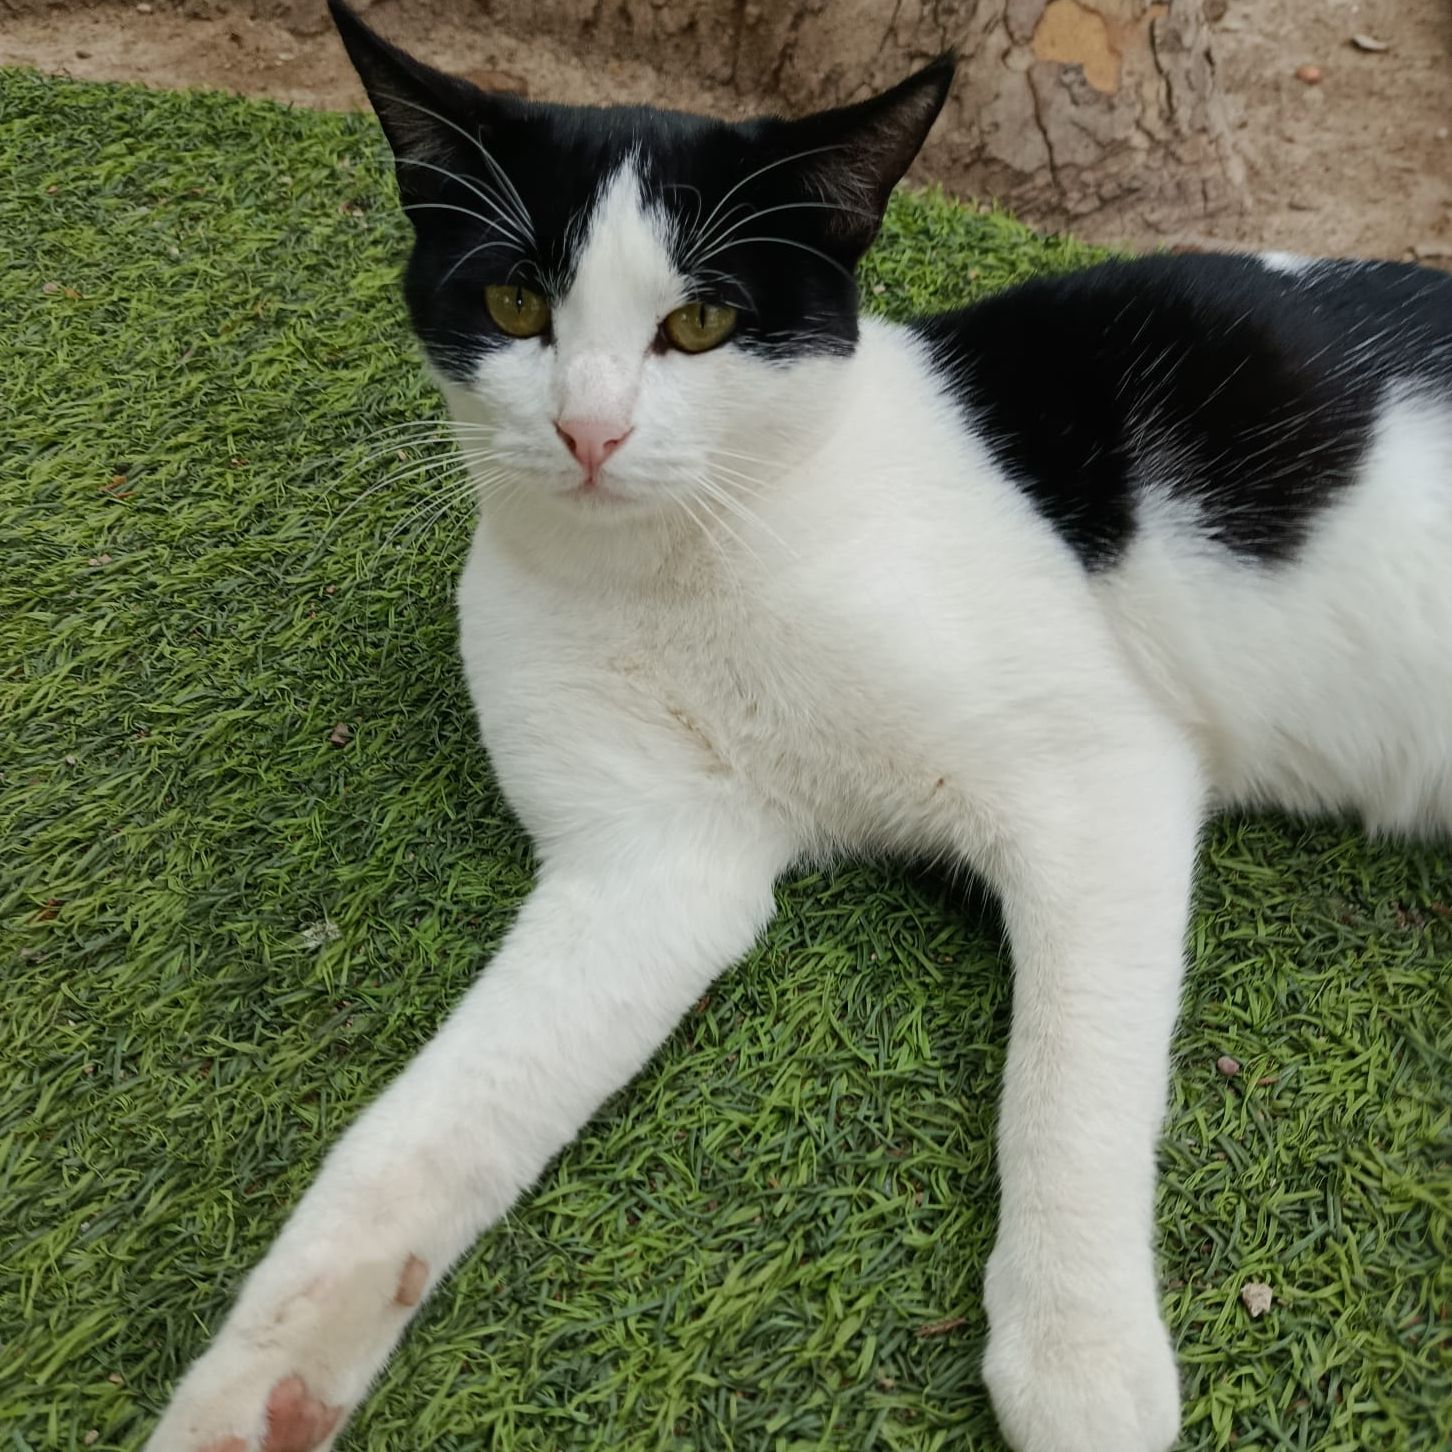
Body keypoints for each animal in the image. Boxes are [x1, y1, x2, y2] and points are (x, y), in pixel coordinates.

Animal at [146, 2, 1452, 1449]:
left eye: (702, 323)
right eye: (513, 304)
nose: (589, 432)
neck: (685, 567)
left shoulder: (1100, 779)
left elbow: (1065, 1085)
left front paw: (1077, 1357)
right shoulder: (654, 867)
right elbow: (417, 1131)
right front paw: (257, 1384)